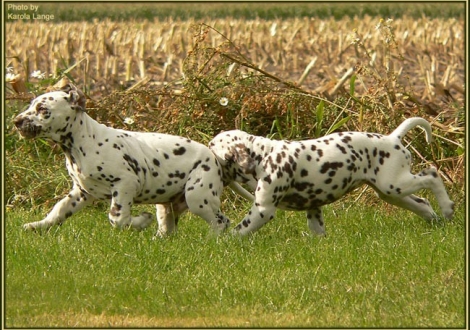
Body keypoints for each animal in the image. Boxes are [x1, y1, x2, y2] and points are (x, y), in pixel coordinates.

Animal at [13, 80, 239, 235]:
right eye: (31, 106)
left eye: (42, 109)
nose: (16, 121)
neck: (82, 143)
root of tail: (215, 157)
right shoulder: (81, 192)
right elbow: (58, 210)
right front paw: (39, 225)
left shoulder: (125, 184)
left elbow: (117, 217)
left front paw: (140, 222)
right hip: (168, 205)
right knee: (169, 228)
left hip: (197, 196)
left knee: (221, 222)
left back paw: (213, 241)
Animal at [208, 117, 452, 236]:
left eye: (211, 148)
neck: (264, 155)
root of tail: (393, 138)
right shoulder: (313, 208)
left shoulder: (262, 210)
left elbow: (240, 230)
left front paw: (224, 243)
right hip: (391, 193)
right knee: (422, 202)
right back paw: (436, 220)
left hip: (394, 185)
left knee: (432, 175)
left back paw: (447, 207)